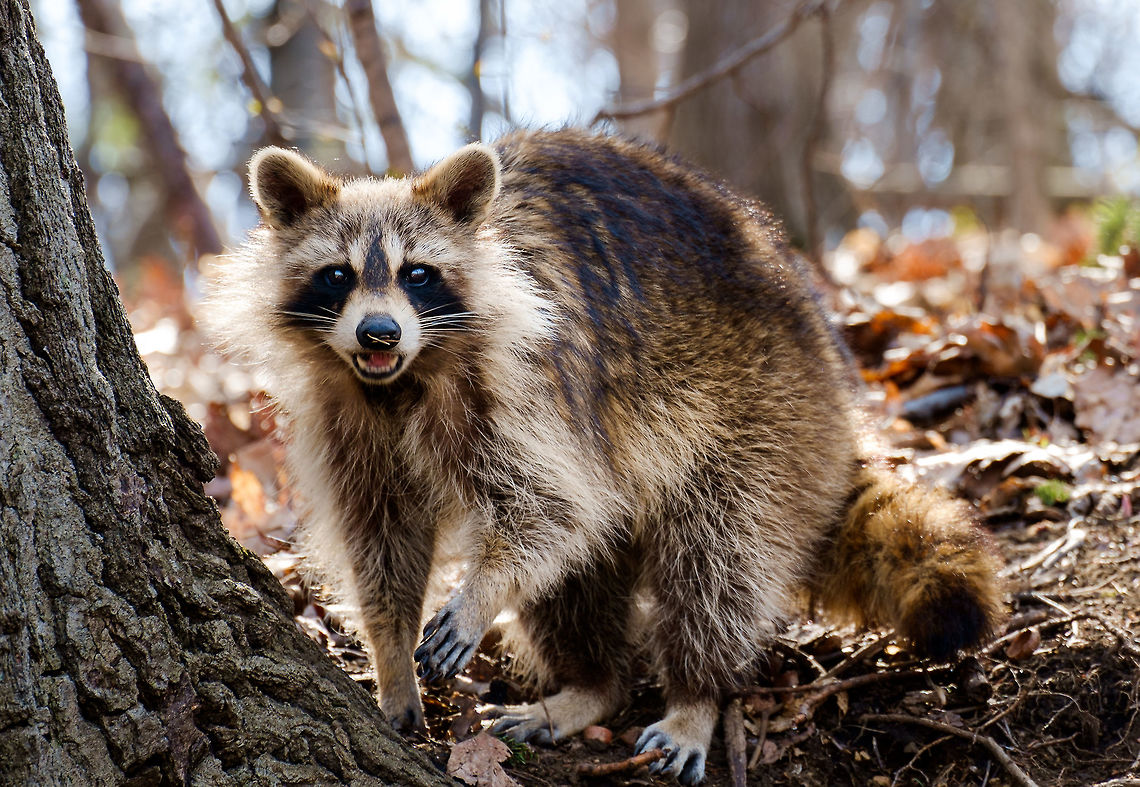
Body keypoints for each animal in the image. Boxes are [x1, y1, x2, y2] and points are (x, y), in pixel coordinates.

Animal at [205, 129, 1002, 784]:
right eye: (338, 274)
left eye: (418, 274)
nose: (378, 333)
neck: (400, 380)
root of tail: (836, 389)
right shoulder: (346, 417)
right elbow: (382, 537)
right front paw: (390, 653)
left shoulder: (525, 382)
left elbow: (550, 507)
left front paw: (481, 590)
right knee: (584, 578)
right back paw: (592, 684)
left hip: (764, 413)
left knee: (717, 556)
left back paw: (696, 693)